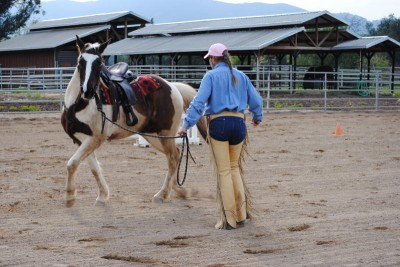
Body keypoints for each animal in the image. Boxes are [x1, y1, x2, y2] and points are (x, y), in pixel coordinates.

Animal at [61, 35, 209, 207]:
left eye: (99, 63)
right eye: (80, 62)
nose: (88, 91)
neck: (78, 105)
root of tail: (173, 87)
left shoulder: (96, 138)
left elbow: (72, 164)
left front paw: (69, 197)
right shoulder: (81, 140)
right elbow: (94, 168)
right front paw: (102, 196)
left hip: (164, 133)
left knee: (172, 158)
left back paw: (162, 194)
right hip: (152, 135)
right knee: (175, 155)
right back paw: (177, 190)